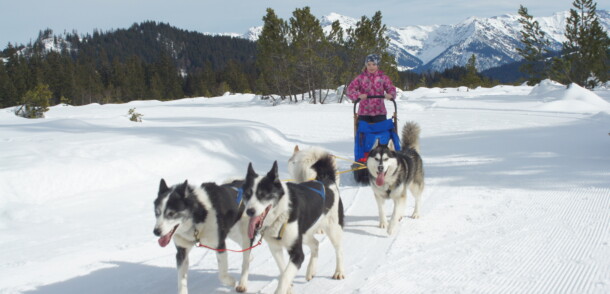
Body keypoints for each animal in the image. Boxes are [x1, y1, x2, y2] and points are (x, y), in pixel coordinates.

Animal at [242, 158, 346, 294]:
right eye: (247, 194)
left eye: (263, 194)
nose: (249, 211)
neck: (281, 213)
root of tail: (325, 180)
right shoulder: (275, 248)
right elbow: (283, 270)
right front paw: (288, 288)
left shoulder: (297, 254)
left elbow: (285, 275)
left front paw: (281, 289)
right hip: (305, 234)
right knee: (315, 244)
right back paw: (311, 270)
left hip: (333, 229)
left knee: (339, 250)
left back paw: (339, 272)